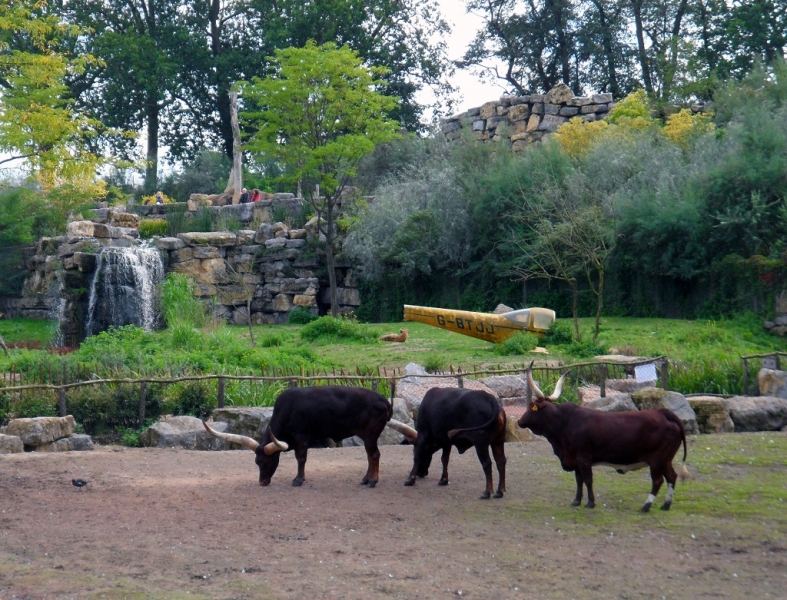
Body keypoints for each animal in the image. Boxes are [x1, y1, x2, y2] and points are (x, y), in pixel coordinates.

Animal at [203, 384, 412, 488]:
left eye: (268, 462)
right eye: (257, 462)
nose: (262, 482)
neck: (287, 410)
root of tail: (383, 399)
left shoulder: (301, 438)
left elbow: (301, 458)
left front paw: (298, 480)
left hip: (370, 435)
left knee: (374, 455)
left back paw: (372, 481)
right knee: (371, 456)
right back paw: (366, 479)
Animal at [520, 360, 688, 510]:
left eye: (531, 407)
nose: (520, 421)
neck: (563, 423)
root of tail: (663, 413)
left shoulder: (583, 458)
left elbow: (588, 480)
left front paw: (590, 503)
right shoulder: (575, 460)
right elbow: (579, 480)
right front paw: (576, 501)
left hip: (657, 460)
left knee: (658, 480)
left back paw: (646, 506)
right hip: (665, 460)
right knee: (672, 477)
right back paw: (666, 505)